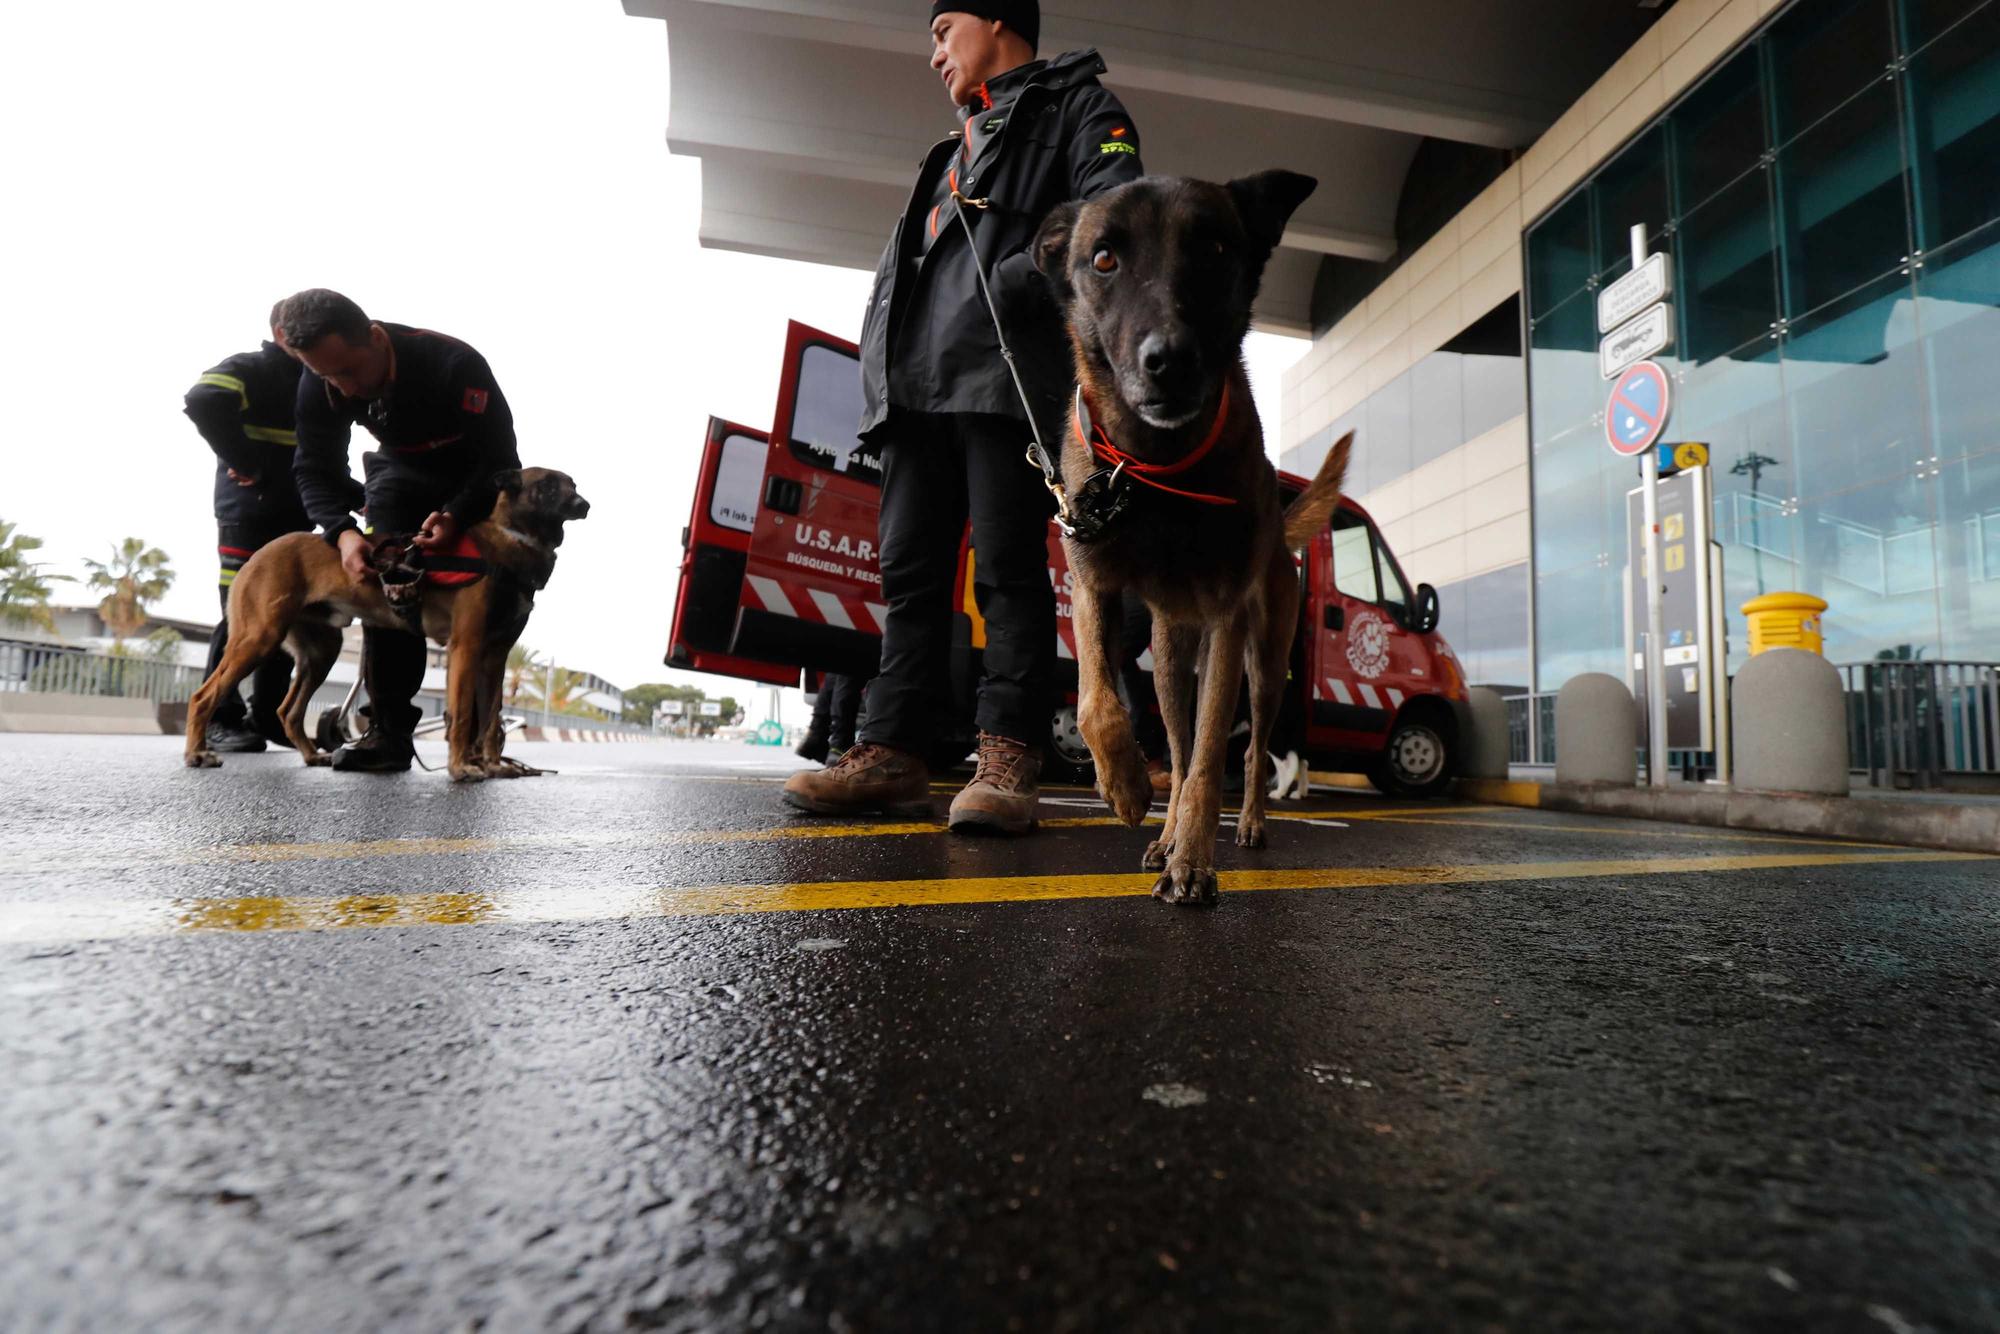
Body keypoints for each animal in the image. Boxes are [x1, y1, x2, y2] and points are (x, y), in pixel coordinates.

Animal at [183, 470, 588, 784]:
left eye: (572, 484)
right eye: (548, 486)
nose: (584, 504)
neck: (512, 540)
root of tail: (259, 554)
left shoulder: (495, 658)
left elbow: (491, 719)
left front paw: (491, 765)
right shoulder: (466, 647)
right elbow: (462, 715)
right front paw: (461, 768)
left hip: (321, 652)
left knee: (288, 711)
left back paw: (312, 755)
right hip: (259, 638)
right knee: (204, 696)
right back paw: (197, 753)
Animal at [1032, 170, 1360, 908]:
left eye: (1213, 249)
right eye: (1103, 259)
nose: (1170, 361)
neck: (1157, 466)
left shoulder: (1226, 622)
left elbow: (1214, 760)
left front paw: (1195, 866)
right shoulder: (1091, 583)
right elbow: (1095, 700)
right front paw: (1125, 786)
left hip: (1260, 665)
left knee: (1246, 749)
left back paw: (1244, 826)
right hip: (1170, 664)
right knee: (1177, 753)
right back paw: (1162, 828)